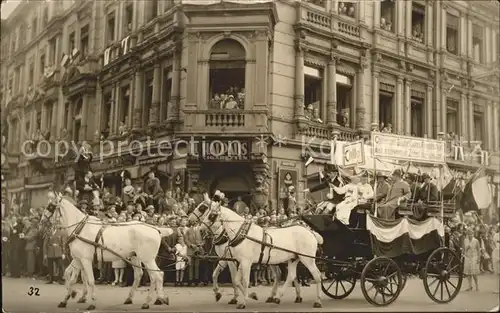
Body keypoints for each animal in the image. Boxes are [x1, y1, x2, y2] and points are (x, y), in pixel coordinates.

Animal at [42, 191, 174, 308]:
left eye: (51, 206)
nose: (42, 220)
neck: (80, 228)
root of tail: (156, 229)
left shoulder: (85, 260)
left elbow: (90, 280)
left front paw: (92, 302)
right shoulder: (78, 259)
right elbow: (70, 277)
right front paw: (67, 297)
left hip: (147, 259)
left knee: (157, 276)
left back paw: (154, 300)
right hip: (136, 257)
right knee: (141, 275)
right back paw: (133, 298)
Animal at [191, 194, 324, 308]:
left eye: (210, 213)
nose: (199, 229)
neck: (240, 233)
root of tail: (311, 232)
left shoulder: (242, 262)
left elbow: (243, 281)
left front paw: (242, 301)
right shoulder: (236, 260)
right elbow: (234, 279)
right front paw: (245, 295)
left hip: (307, 259)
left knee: (317, 275)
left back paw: (317, 301)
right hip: (293, 259)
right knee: (290, 276)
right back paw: (279, 297)